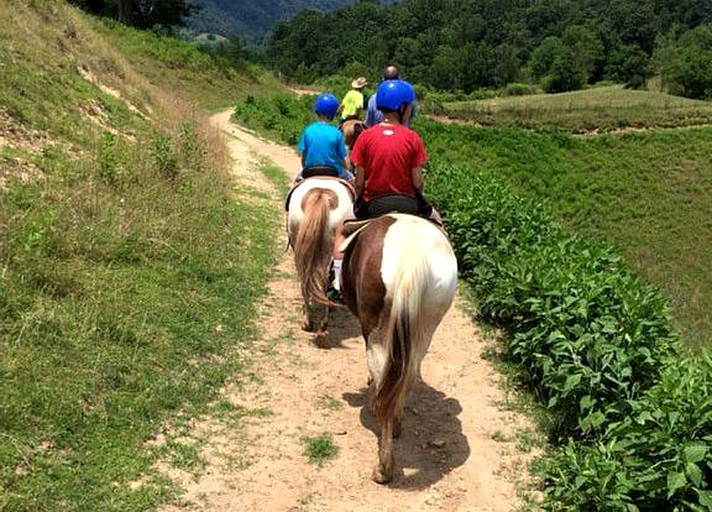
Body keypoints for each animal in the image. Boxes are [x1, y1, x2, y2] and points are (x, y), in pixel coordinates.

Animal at [338, 213, 456, 484]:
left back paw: (384, 467)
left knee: (383, 375)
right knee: (408, 373)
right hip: (428, 324)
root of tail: (413, 257)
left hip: (375, 328)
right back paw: (398, 420)